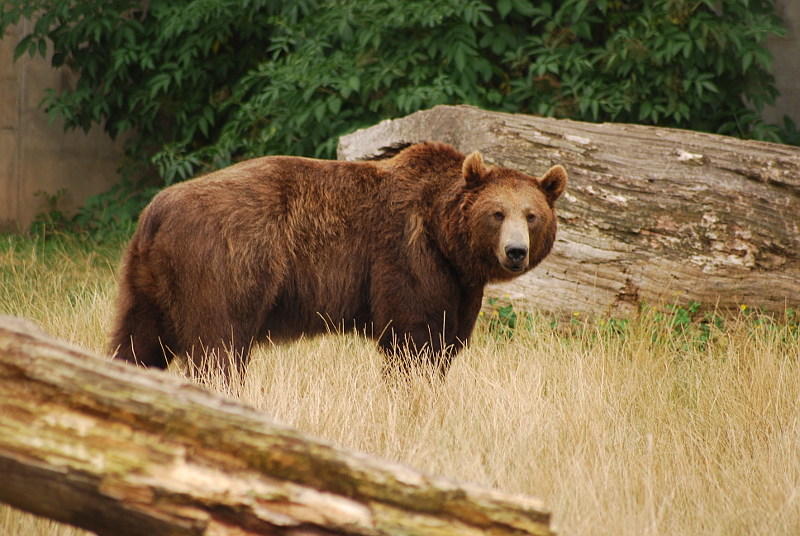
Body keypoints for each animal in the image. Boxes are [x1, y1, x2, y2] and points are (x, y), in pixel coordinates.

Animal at [109, 142, 567, 378]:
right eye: (497, 213)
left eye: (532, 215)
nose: (515, 252)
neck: (446, 237)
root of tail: (155, 212)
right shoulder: (406, 258)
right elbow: (413, 337)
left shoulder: (460, 283)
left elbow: (448, 340)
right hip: (224, 264)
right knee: (218, 343)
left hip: (147, 280)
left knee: (137, 340)